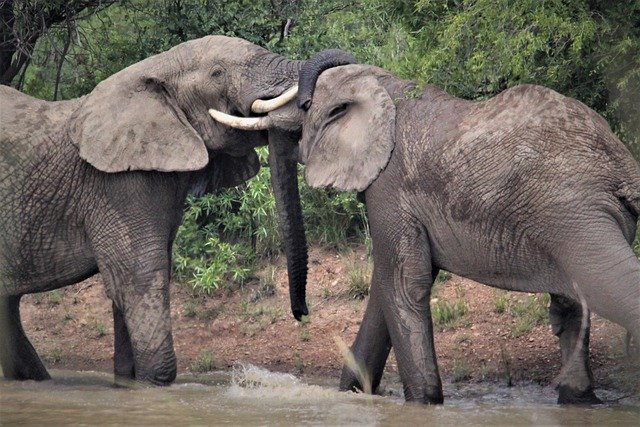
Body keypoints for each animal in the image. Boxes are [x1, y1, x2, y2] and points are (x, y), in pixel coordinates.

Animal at [0, 35, 354, 385]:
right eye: (217, 73)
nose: (302, 313)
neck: (153, 69)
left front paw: (128, 382)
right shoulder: (117, 184)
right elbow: (139, 278)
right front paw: (154, 383)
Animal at [210, 62, 640, 404]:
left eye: (303, 108)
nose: (302, 314)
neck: (382, 84)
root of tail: (621, 166)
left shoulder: (389, 184)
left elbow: (403, 283)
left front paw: (423, 402)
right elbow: (386, 290)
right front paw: (353, 395)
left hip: (571, 211)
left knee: (610, 289)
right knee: (573, 306)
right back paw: (579, 401)